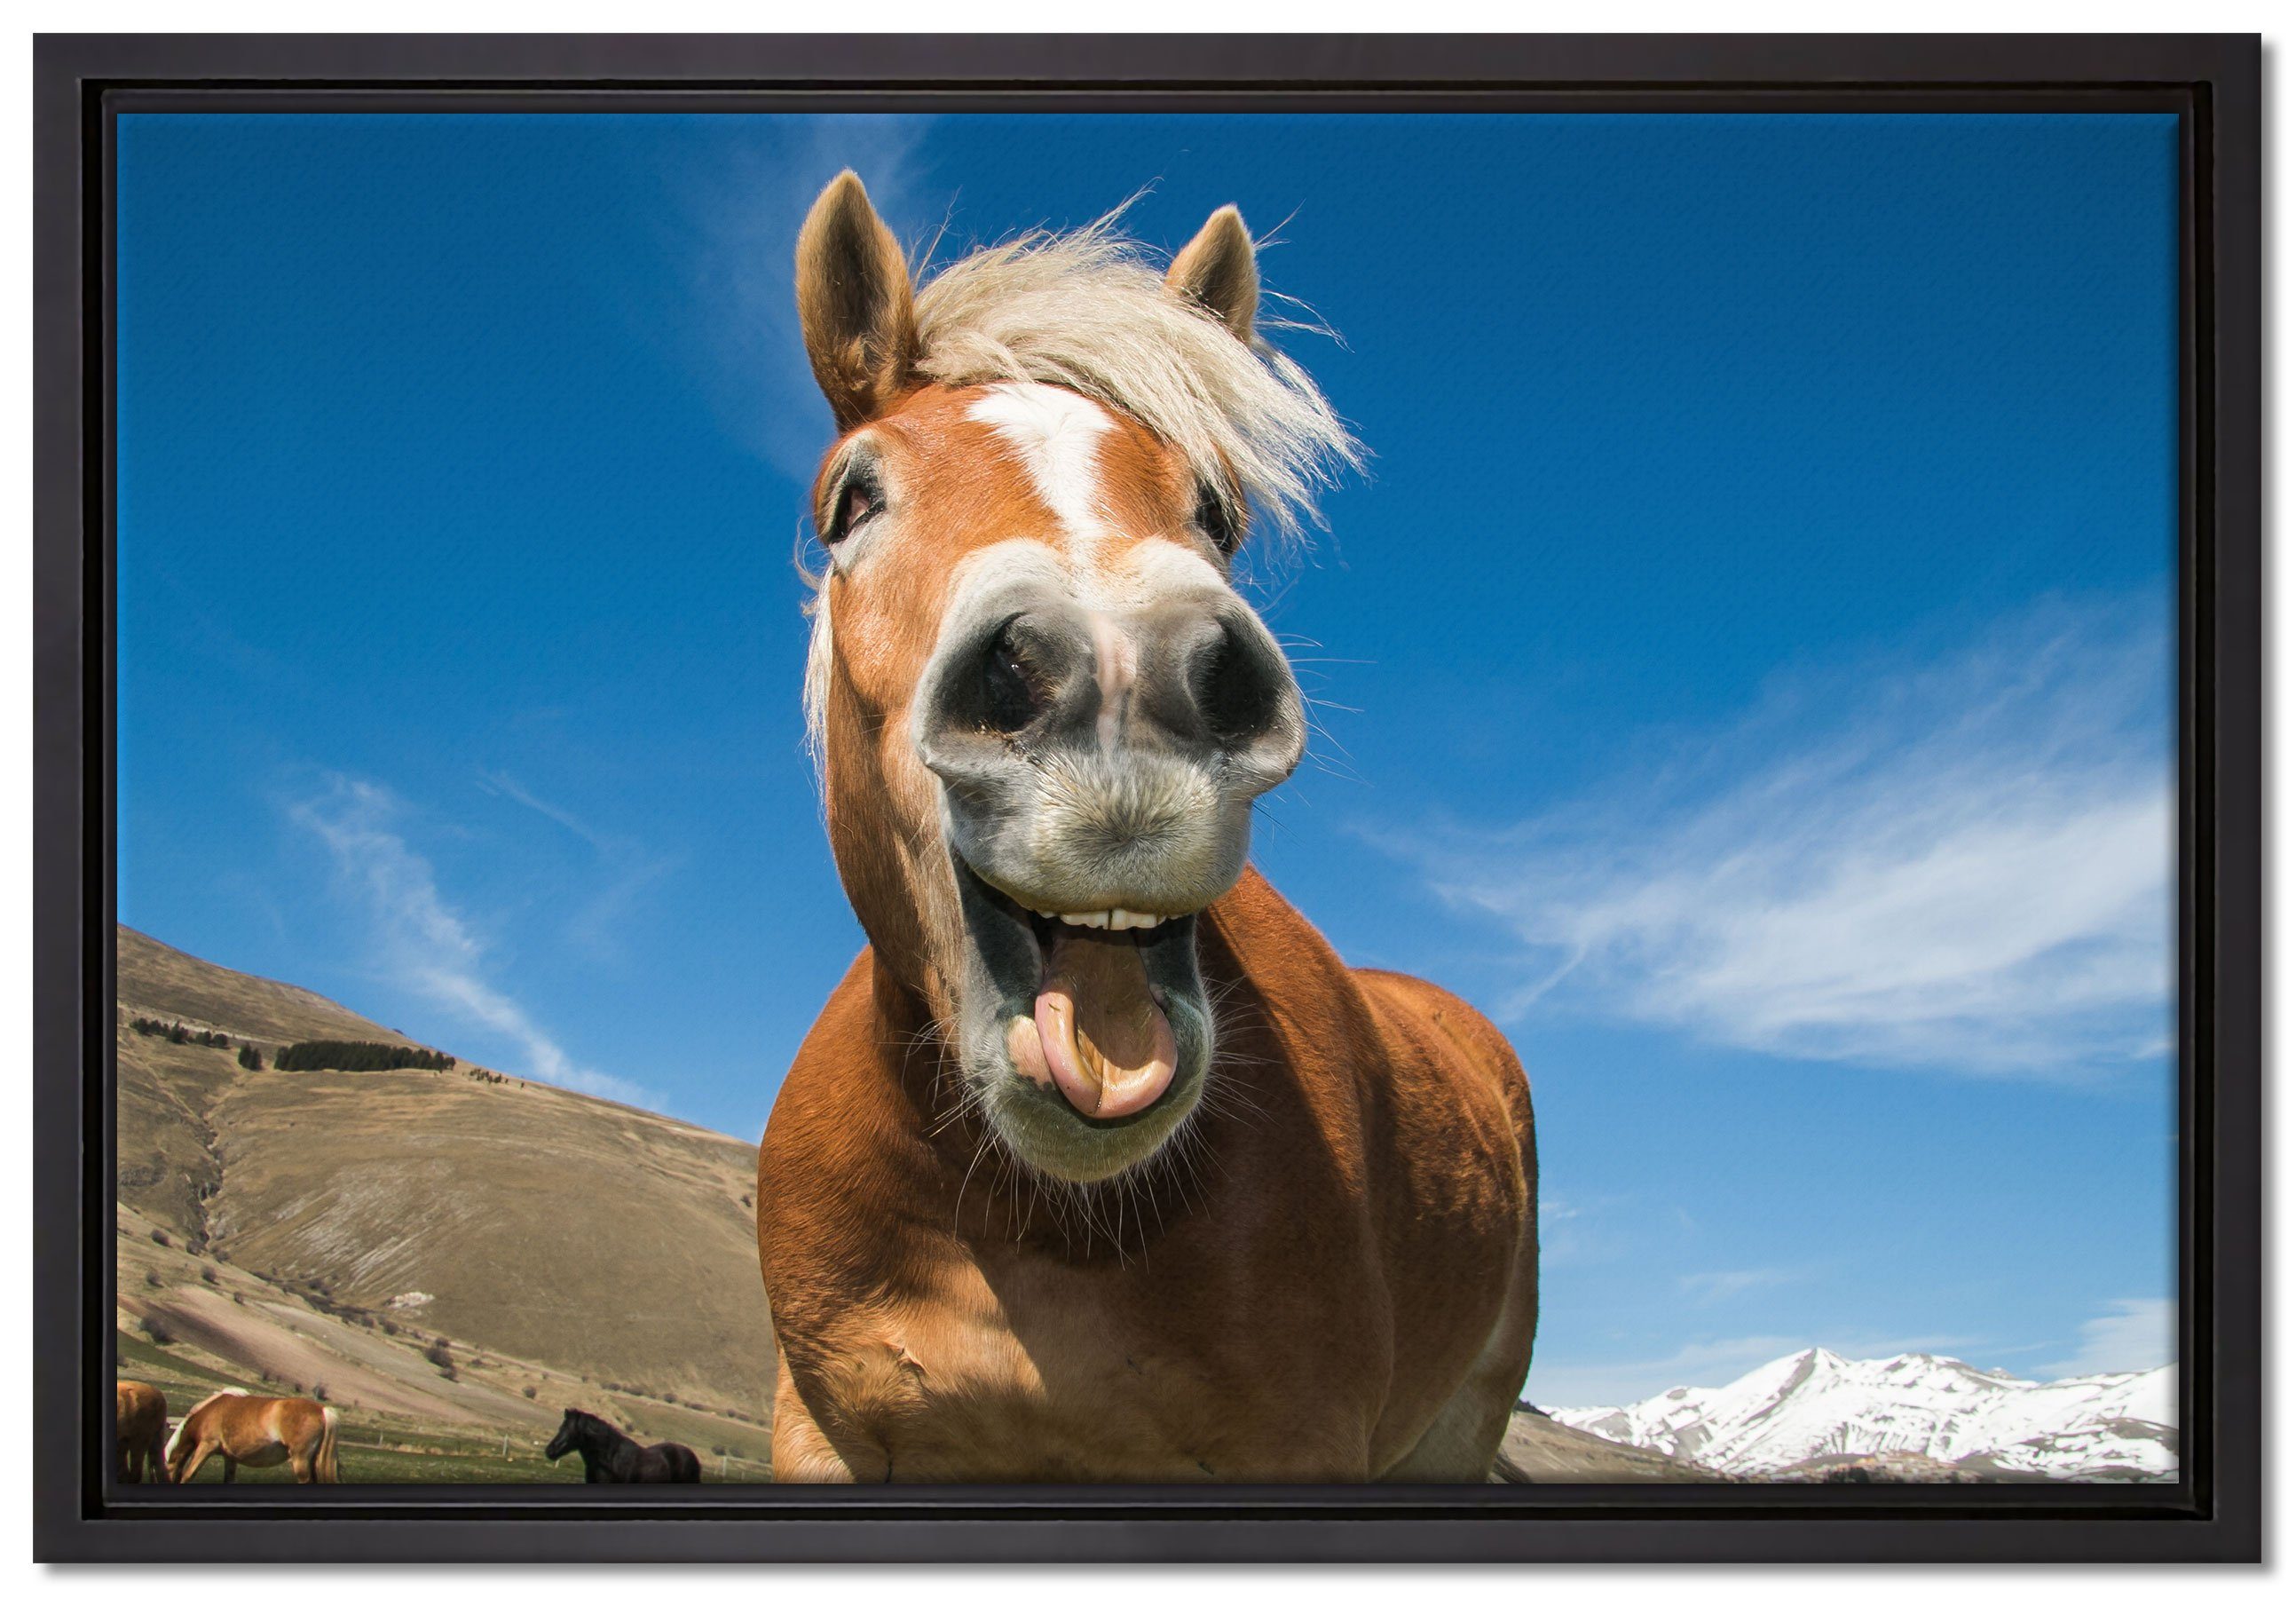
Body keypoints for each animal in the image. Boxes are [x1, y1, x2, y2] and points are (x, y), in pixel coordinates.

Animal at [166, 1387, 337, 1487]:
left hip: (300, 1461)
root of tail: (321, 1410)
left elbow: (188, 1476)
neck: (209, 1412)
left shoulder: (206, 1447)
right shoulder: (230, 1458)